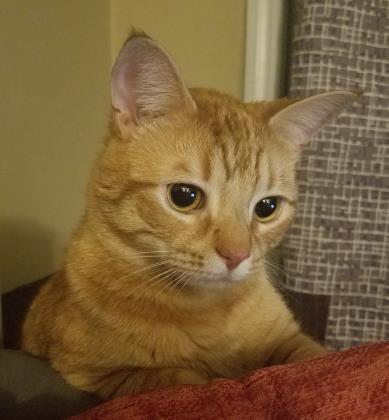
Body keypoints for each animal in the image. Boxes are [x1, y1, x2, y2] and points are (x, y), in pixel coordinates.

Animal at [20, 33, 354, 400]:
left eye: (267, 207)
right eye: (184, 196)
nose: (237, 255)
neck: (208, 312)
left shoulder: (291, 339)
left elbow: (317, 357)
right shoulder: (93, 372)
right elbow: (180, 378)